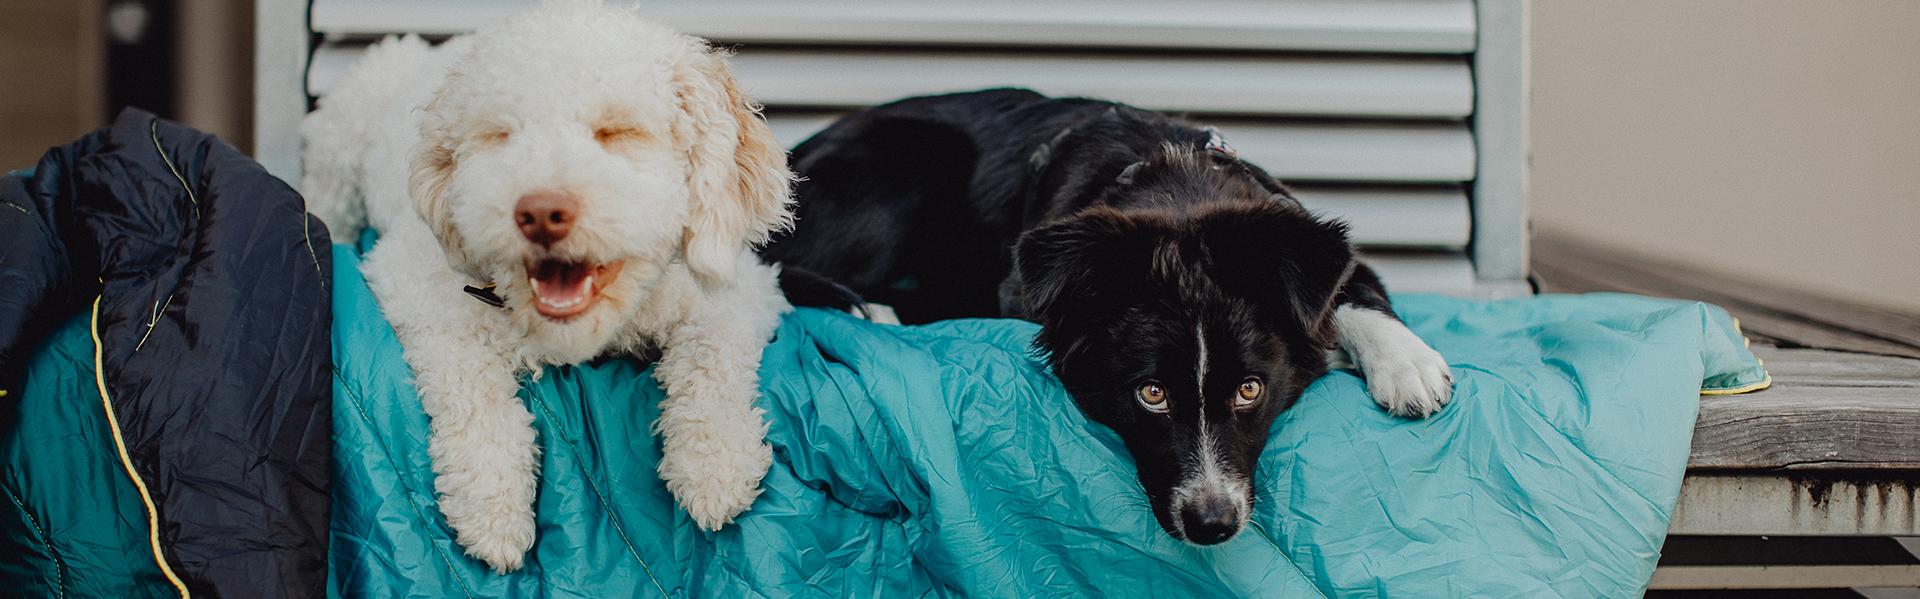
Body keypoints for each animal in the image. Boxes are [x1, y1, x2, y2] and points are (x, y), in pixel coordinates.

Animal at [301, 0, 794, 572]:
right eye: (501, 136)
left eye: (616, 132)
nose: (540, 213)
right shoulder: (412, 285)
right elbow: (472, 385)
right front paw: (490, 506)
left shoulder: (742, 291)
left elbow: (711, 356)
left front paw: (715, 463)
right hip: (337, 159)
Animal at [756, 87, 1443, 541]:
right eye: (1152, 394)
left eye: (1251, 389)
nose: (1212, 525)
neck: (1177, 192)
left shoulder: (1311, 243)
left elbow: (1355, 288)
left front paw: (1406, 363)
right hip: (915, 156)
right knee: (770, 261)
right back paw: (865, 304)